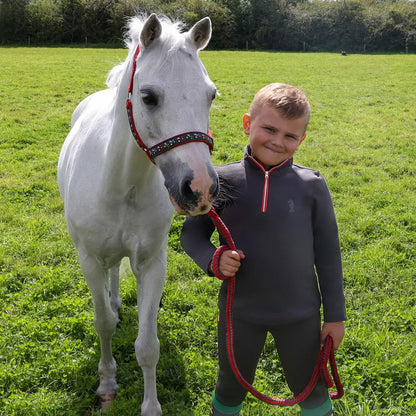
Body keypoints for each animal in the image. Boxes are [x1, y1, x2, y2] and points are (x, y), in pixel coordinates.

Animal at [57, 13, 218, 416]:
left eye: (210, 94)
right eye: (148, 97)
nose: (201, 188)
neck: (122, 185)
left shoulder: (152, 262)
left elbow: (148, 345)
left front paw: (151, 406)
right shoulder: (89, 260)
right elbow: (102, 324)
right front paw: (107, 383)